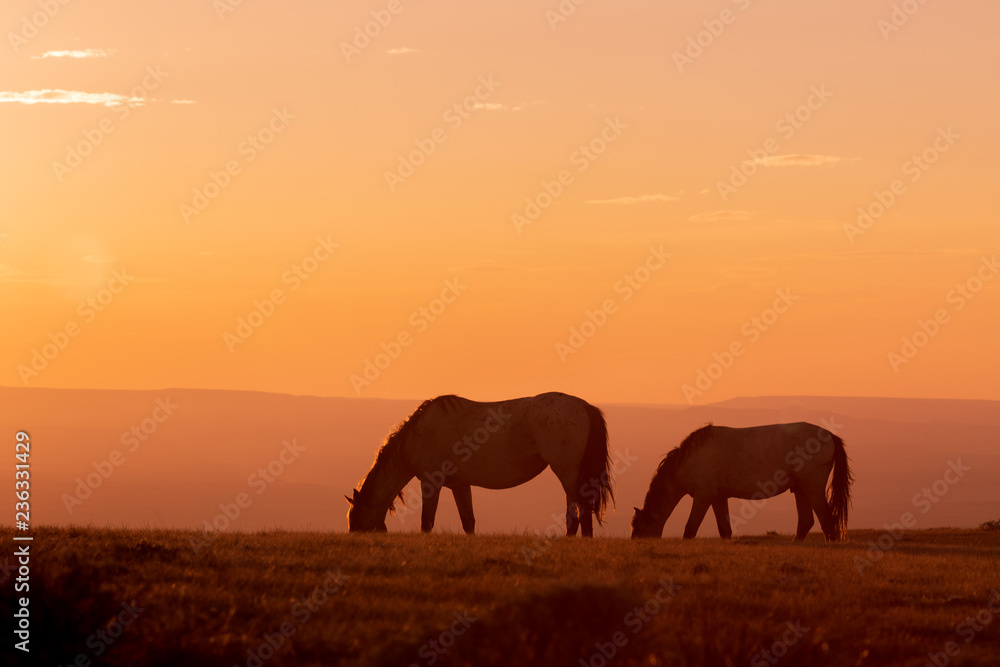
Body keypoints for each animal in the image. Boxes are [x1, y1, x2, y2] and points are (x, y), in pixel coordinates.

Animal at [344, 392, 612, 536]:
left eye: (354, 518)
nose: (353, 535)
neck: (418, 436)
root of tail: (584, 406)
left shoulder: (431, 483)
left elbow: (427, 522)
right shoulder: (460, 485)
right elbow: (468, 522)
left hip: (567, 472)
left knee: (581, 509)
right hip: (570, 473)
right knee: (574, 511)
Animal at [632, 422, 852, 544]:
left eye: (638, 527)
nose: (635, 541)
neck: (690, 459)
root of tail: (829, 435)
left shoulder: (702, 498)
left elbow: (690, 529)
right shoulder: (717, 498)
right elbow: (725, 530)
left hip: (813, 488)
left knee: (827, 520)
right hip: (800, 489)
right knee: (806, 522)